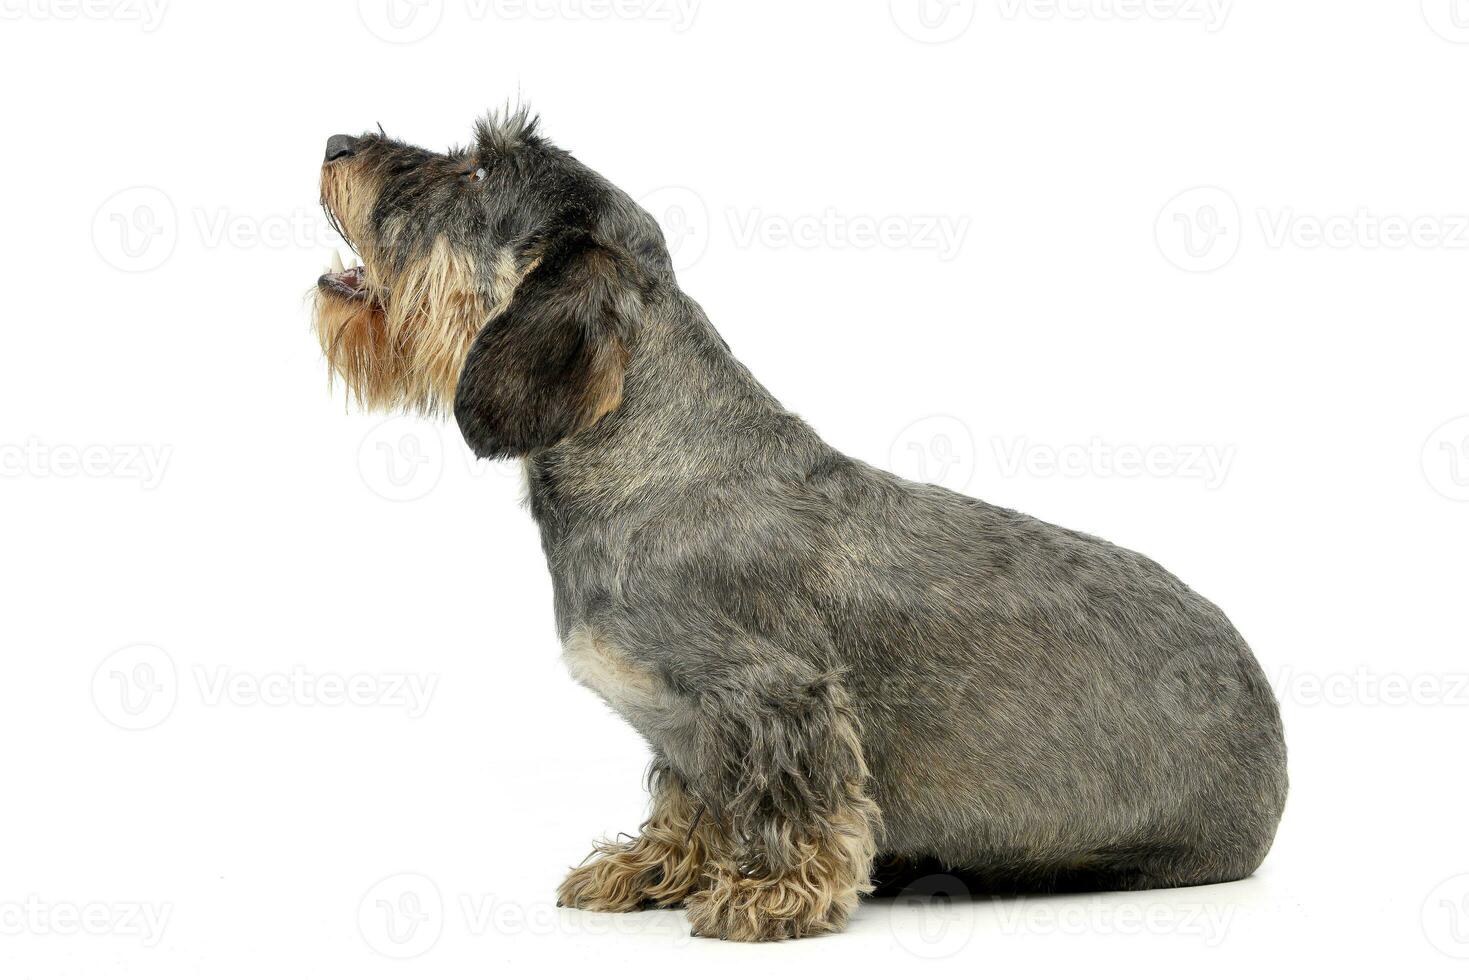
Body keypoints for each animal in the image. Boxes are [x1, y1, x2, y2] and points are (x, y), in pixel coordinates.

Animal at [312, 107, 1286, 940]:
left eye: (477, 170)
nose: (333, 144)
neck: (651, 464)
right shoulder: (686, 730)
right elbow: (688, 801)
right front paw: (656, 868)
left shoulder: (778, 695)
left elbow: (798, 799)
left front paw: (774, 892)